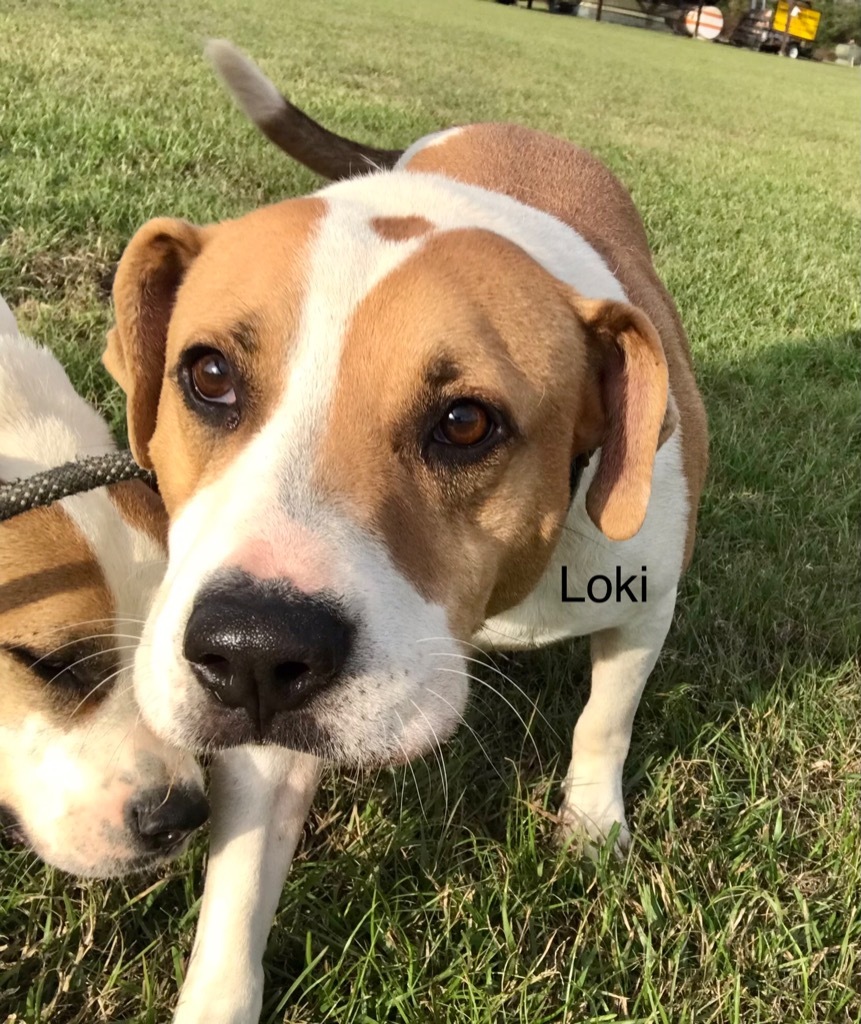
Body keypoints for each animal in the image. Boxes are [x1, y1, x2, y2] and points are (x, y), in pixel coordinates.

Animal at [102, 44, 704, 1019]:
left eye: (465, 423)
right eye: (208, 375)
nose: (253, 650)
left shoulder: (644, 601)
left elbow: (604, 721)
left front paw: (589, 827)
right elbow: (239, 884)